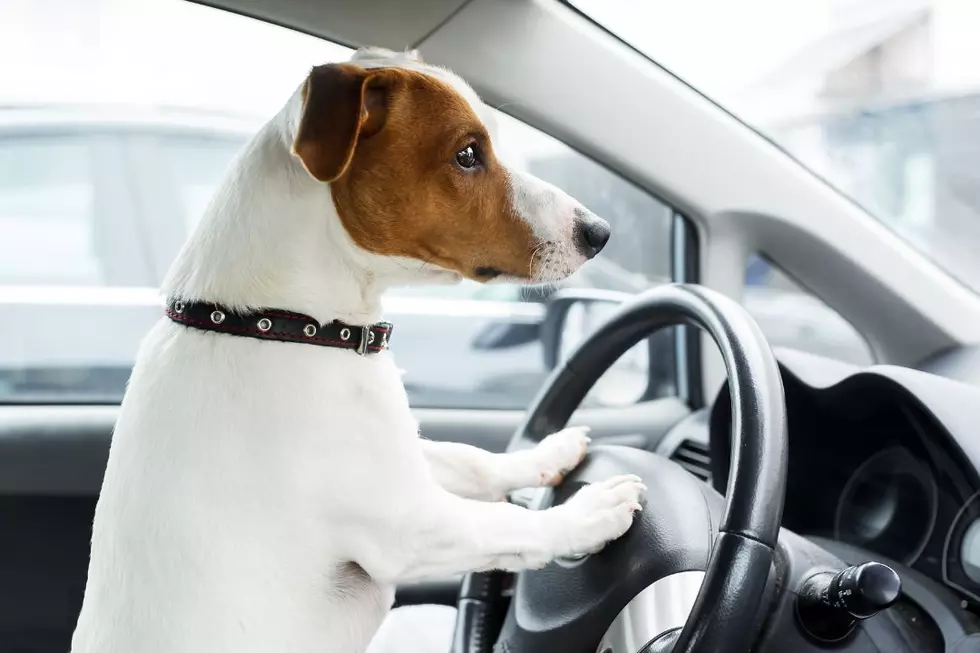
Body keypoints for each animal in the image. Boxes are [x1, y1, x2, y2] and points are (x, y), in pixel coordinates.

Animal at [72, 47, 648, 652]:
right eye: (468, 154)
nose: (599, 232)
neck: (281, 326)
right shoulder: (412, 524)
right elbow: (512, 525)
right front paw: (592, 512)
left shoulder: (396, 458)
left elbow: (471, 458)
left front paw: (547, 454)